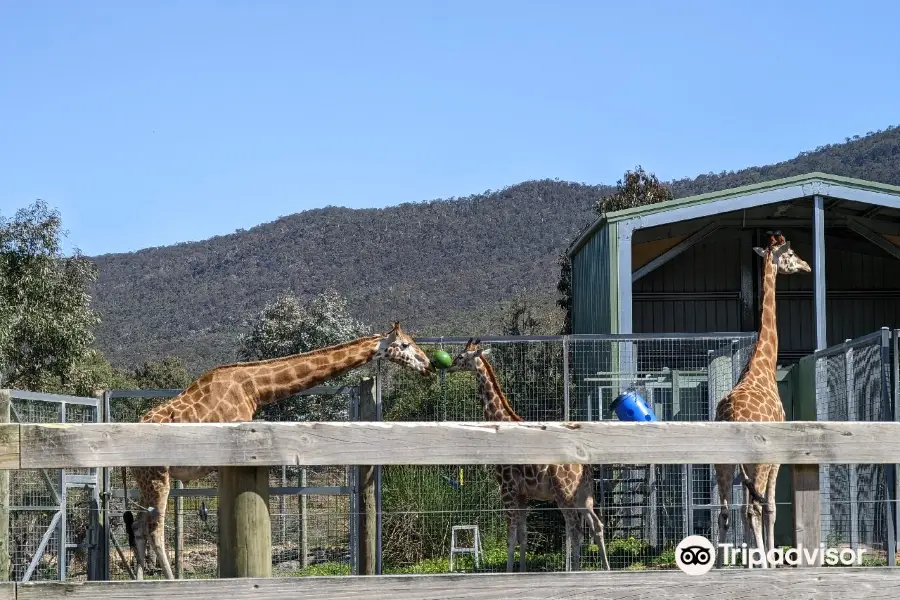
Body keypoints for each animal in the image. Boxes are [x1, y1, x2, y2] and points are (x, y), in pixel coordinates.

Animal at [122, 322, 436, 580]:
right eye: (405, 344)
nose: (429, 365)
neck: (254, 389)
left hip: (145, 479)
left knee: (137, 527)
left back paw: (138, 581)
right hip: (158, 476)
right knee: (154, 530)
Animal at [448, 338, 612, 572]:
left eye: (461, 356)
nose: (449, 366)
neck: (504, 423)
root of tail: (584, 467)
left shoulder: (507, 489)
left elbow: (510, 536)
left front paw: (509, 572)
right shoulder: (523, 494)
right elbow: (523, 535)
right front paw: (522, 571)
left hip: (564, 494)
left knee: (575, 531)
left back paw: (576, 571)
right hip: (585, 495)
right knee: (596, 525)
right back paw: (606, 569)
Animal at [712, 230, 812, 568]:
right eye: (791, 254)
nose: (807, 266)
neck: (762, 366)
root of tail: (730, 416)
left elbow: (747, 511)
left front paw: (752, 561)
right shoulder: (776, 456)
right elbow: (770, 507)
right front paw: (767, 560)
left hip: (723, 463)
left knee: (726, 511)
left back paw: (719, 566)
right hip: (757, 461)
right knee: (753, 508)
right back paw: (762, 563)